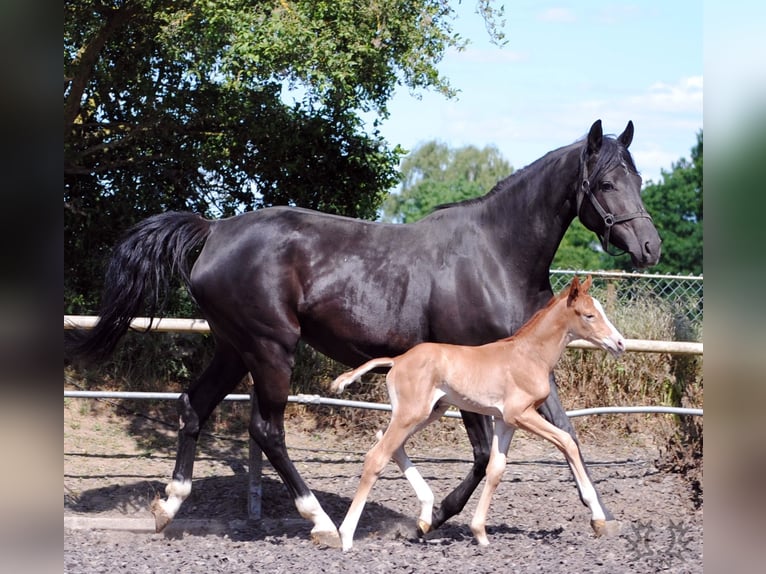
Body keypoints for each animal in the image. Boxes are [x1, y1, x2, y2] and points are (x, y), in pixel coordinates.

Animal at [330, 275, 625, 550]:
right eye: (589, 315)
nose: (620, 343)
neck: (529, 355)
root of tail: (398, 360)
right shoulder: (521, 414)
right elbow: (567, 442)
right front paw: (598, 516)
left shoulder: (505, 420)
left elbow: (496, 469)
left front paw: (479, 532)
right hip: (411, 414)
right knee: (377, 456)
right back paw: (346, 536)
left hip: (429, 412)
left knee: (391, 445)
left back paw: (425, 516)